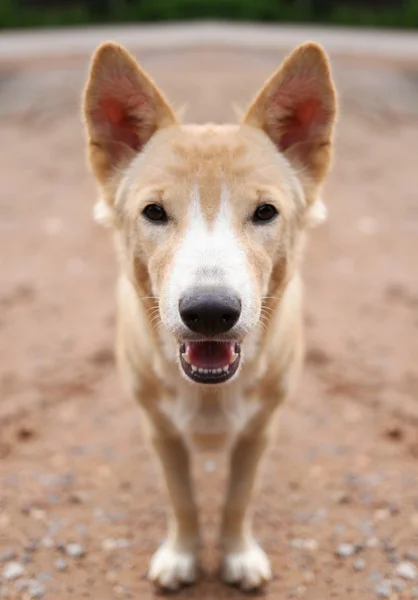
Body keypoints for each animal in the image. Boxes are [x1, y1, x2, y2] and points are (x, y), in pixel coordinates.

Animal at [81, 42, 336, 592]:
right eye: (155, 212)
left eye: (265, 212)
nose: (211, 313)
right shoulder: (161, 431)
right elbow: (183, 501)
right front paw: (182, 555)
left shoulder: (259, 431)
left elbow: (237, 499)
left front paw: (238, 555)